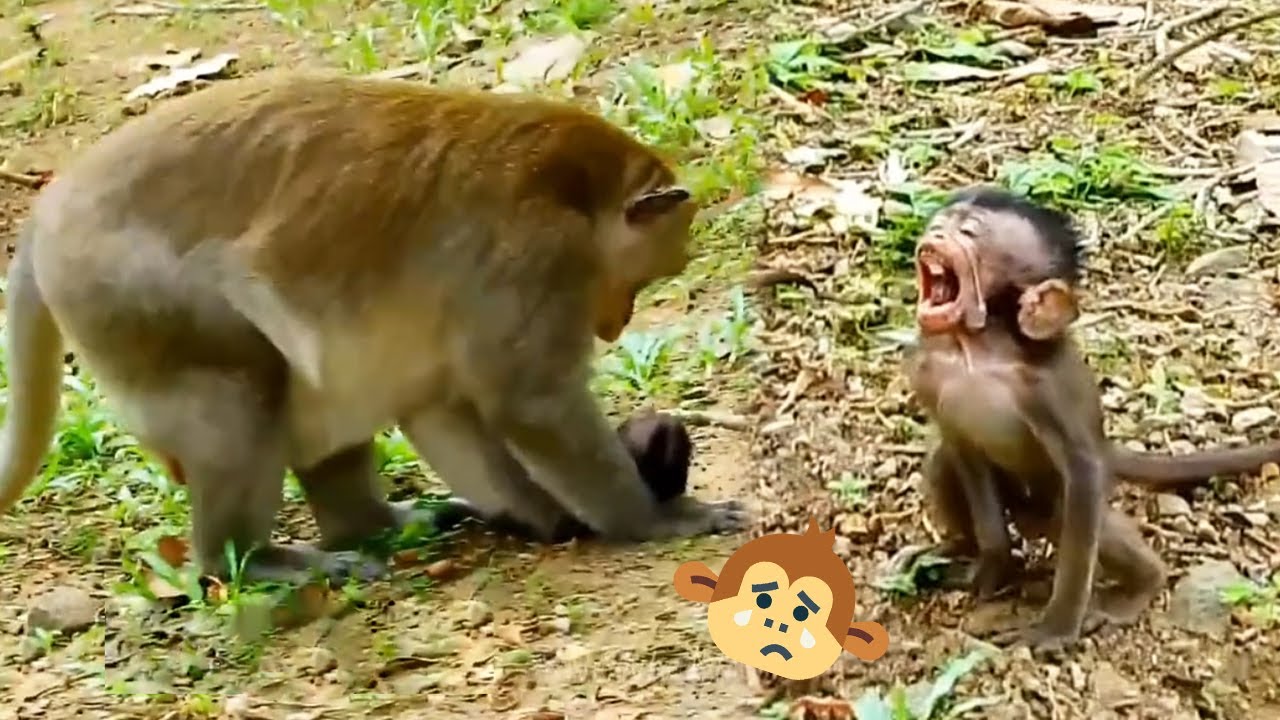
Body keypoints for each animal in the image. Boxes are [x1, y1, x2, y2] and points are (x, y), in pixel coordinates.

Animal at [0, 70, 749, 586]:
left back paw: (370, 525)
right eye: (638, 280)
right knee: (244, 389)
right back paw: (251, 559)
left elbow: (440, 406)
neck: (571, 191)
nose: (615, 326)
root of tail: (47, 212)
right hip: (129, 298)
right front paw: (652, 519)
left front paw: (549, 517)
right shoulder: (538, 259)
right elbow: (529, 404)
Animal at [904, 186, 1280, 653]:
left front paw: (1059, 624)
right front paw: (994, 563)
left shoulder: (1046, 390)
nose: (934, 235)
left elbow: (1082, 472)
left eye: (969, 231)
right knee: (944, 463)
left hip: (1055, 496)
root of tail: (1109, 445)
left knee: (1067, 509)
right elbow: (962, 449)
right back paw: (958, 548)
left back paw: (1143, 583)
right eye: (940, 223)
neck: (978, 350)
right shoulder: (929, 370)